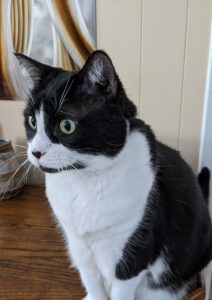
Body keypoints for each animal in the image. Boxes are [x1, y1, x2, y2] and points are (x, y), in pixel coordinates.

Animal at [15, 50, 212, 298]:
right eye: (32, 122)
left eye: (67, 126)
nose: (36, 152)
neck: (83, 180)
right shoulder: (78, 246)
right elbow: (91, 280)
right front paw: (93, 295)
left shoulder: (133, 252)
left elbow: (121, 288)